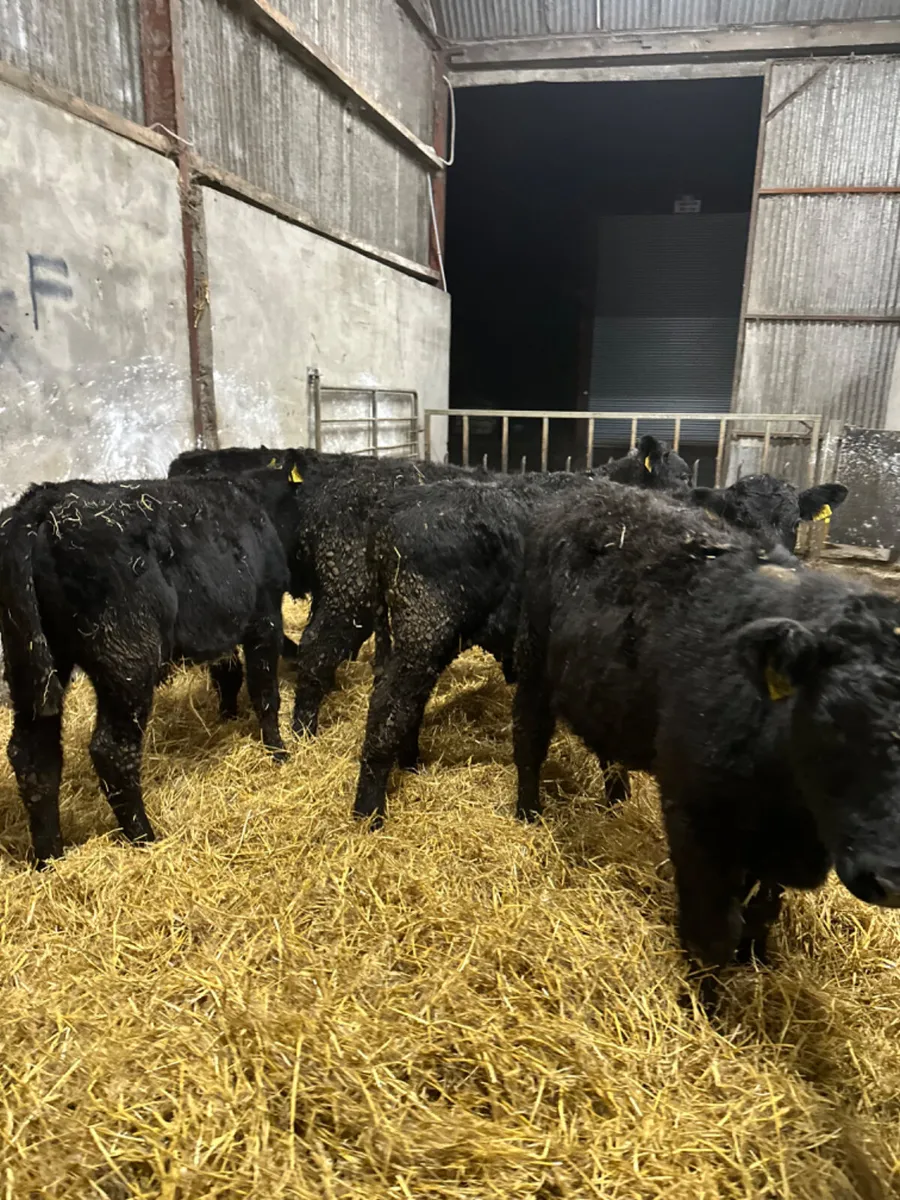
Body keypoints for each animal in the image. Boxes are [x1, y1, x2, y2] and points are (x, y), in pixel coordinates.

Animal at [0, 463, 305, 866]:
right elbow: (264, 691)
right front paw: (278, 751)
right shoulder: (265, 614)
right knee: (112, 750)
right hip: (127, 660)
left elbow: (228, 674)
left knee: (34, 755)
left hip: (33, 664)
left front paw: (227, 717)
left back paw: (50, 859)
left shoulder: (221, 627)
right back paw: (144, 838)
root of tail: (41, 503)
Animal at [512, 481, 900, 988]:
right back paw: (528, 812)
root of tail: (594, 489)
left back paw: (615, 802)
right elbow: (711, 936)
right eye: (834, 719)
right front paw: (701, 1003)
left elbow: (763, 908)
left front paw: (756, 954)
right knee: (529, 740)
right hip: (532, 662)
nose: (888, 879)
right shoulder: (695, 817)